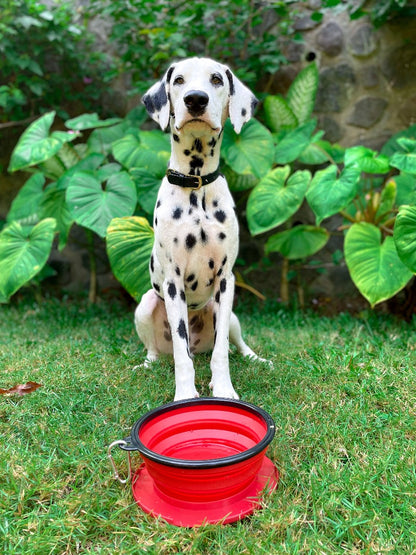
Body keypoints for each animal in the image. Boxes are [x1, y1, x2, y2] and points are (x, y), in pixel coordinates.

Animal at [135, 56, 264, 402]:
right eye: (178, 80)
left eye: (216, 79)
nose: (196, 99)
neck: (196, 186)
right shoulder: (173, 284)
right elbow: (182, 354)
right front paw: (184, 394)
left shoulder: (226, 281)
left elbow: (221, 351)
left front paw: (224, 389)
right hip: (145, 305)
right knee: (158, 351)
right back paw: (147, 364)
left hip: (231, 317)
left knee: (235, 344)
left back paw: (255, 358)